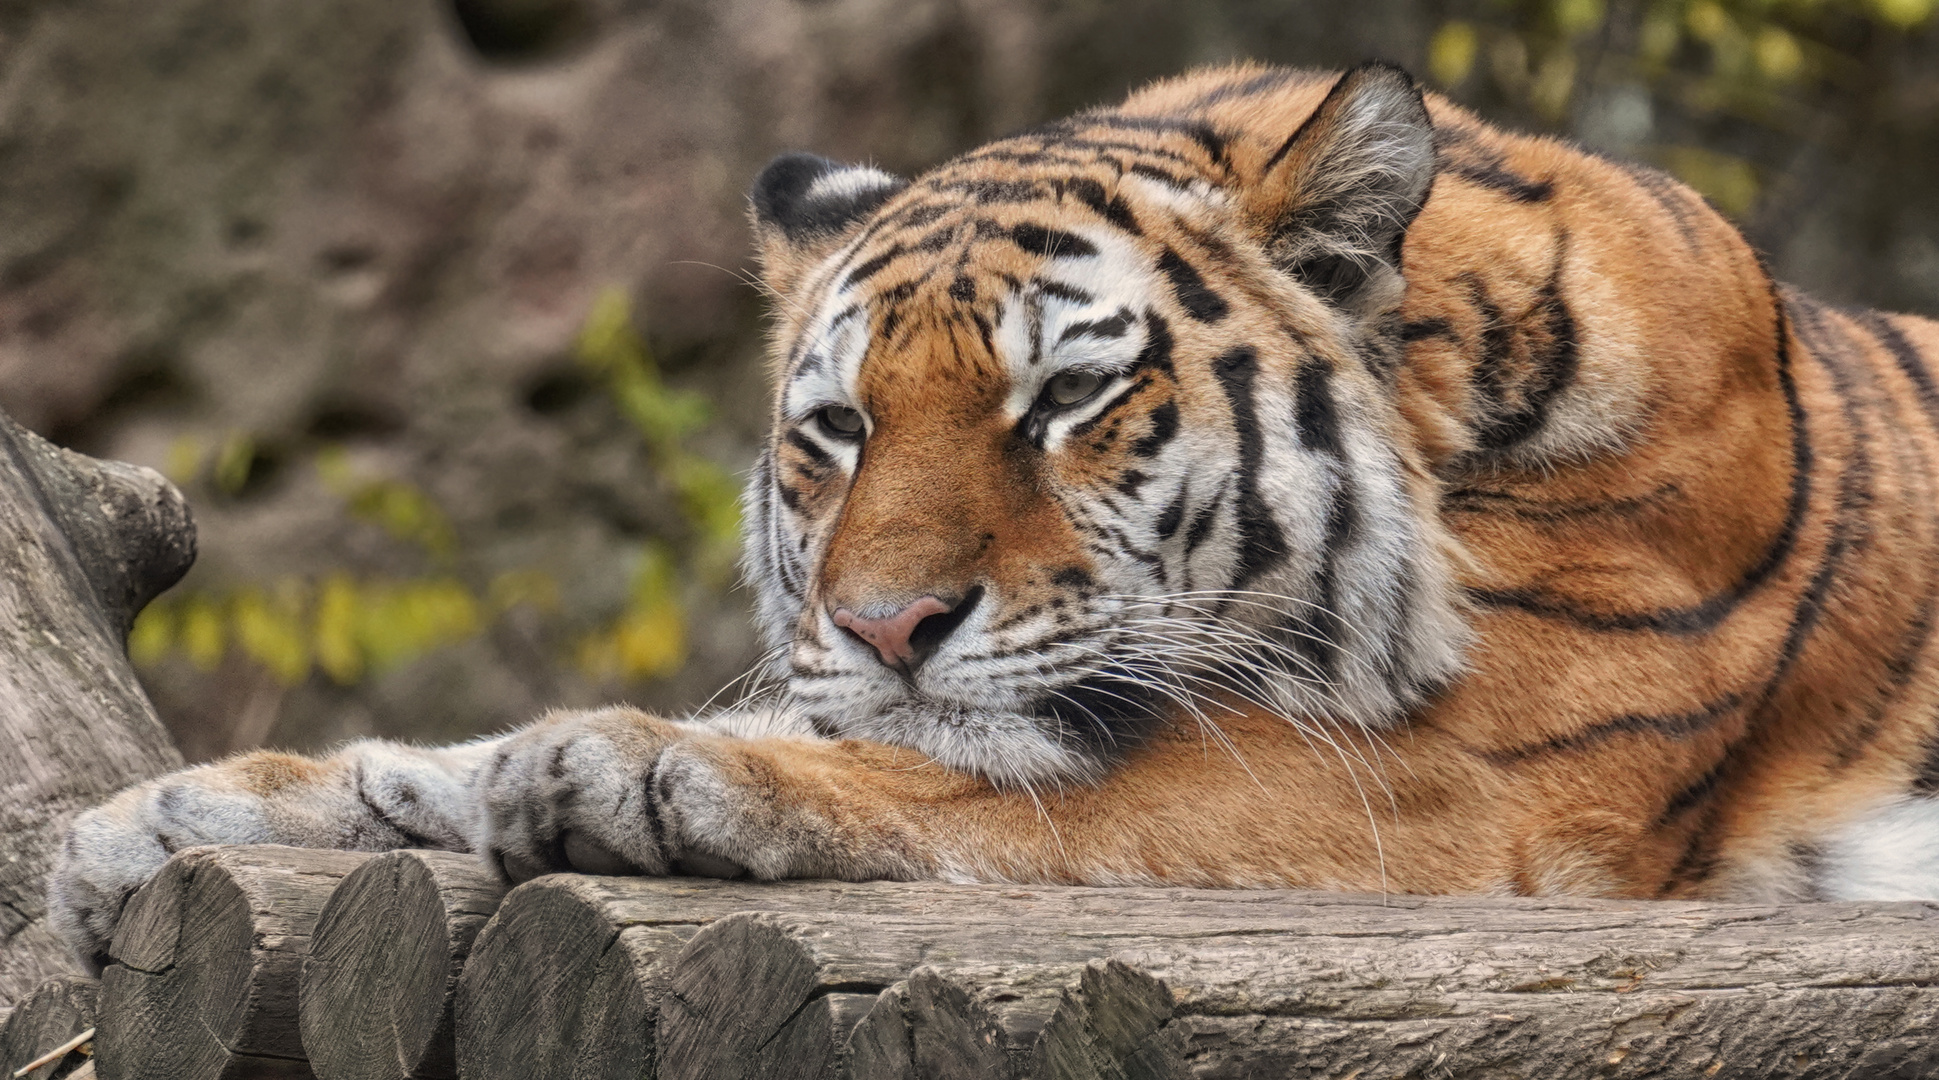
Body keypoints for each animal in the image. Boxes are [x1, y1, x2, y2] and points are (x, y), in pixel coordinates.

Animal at [49, 56, 1939, 969]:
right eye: (836, 428)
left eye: (1062, 405)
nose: (884, 625)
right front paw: (169, 822)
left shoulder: (1450, 789)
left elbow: (980, 782)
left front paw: (632, 768)